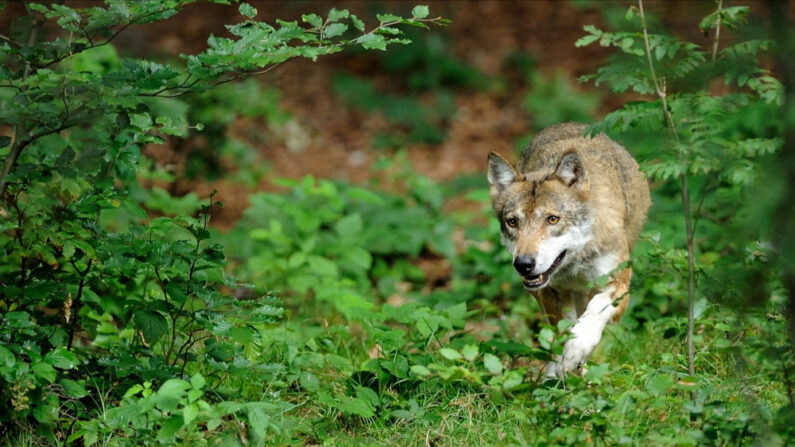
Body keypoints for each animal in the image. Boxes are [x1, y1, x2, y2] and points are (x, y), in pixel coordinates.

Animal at [488, 122, 648, 378]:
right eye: (513, 222)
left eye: (552, 219)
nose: (523, 264)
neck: (575, 263)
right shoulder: (549, 293)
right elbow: (562, 330)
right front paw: (561, 368)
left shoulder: (621, 287)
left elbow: (596, 310)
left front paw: (576, 350)